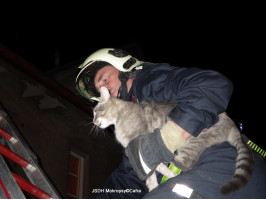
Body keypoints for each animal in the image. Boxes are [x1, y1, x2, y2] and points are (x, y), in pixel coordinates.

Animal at [93, 86, 254, 195]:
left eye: (96, 111)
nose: (93, 122)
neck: (121, 116)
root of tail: (232, 125)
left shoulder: (140, 143)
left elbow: (154, 166)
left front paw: (164, 176)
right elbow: (151, 171)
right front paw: (153, 184)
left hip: (190, 142)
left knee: (185, 163)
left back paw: (167, 155)